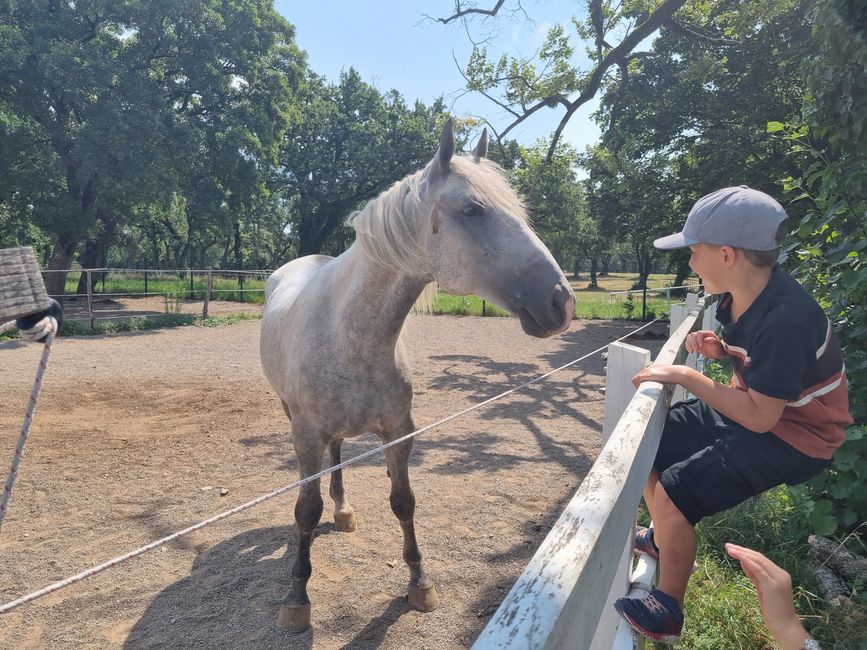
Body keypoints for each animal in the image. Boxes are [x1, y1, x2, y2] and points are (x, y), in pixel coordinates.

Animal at [262, 119, 580, 632]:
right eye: (472, 209)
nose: (562, 302)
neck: (350, 331)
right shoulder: (306, 435)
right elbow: (306, 511)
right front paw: (296, 597)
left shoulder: (399, 432)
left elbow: (403, 502)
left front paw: (419, 583)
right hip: (292, 416)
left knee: (339, 458)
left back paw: (344, 511)